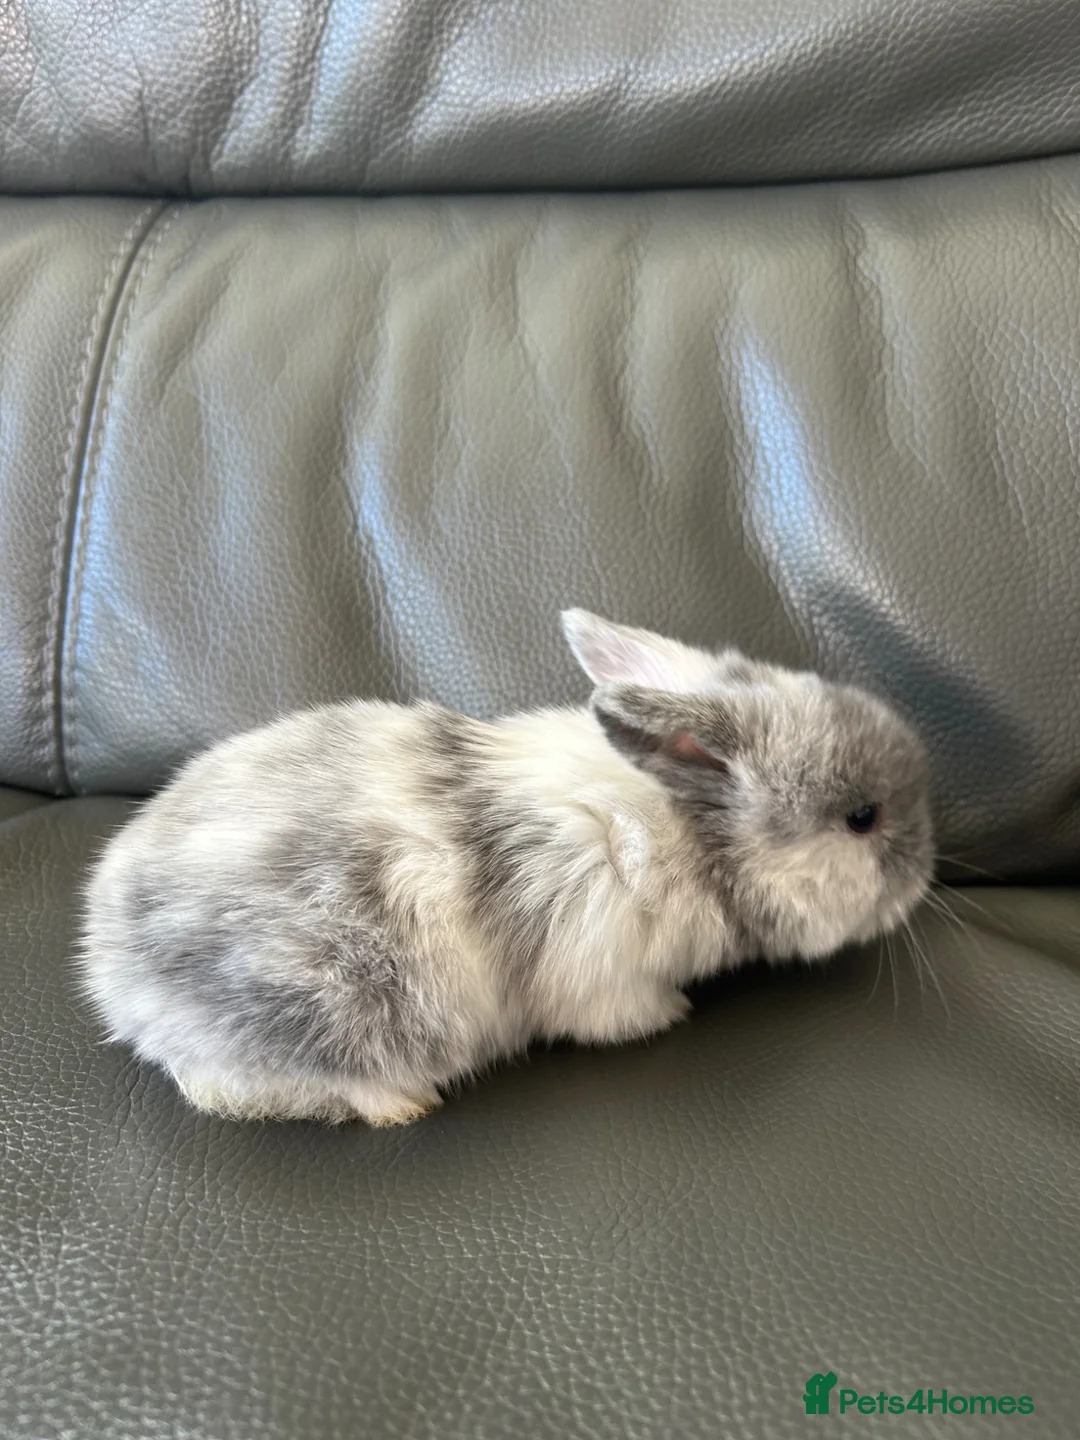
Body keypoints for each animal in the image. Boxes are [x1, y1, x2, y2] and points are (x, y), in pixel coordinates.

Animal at [80, 610, 933, 1126]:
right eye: (862, 818)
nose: (925, 874)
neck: (694, 832)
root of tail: (113, 984)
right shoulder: (603, 972)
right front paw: (673, 1014)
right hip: (328, 1003)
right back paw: (405, 1104)